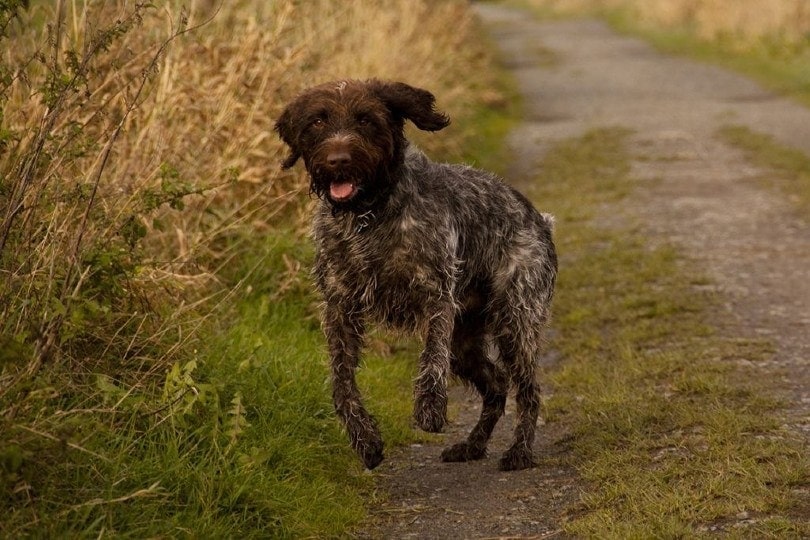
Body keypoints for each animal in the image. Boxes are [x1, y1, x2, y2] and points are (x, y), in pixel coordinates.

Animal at [274, 78, 556, 470]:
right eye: (317, 121)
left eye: (366, 119)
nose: (338, 161)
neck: (368, 216)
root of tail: (539, 219)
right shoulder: (339, 308)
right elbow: (341, 383)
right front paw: (365, 439)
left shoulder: (435, 295)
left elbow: (431, 356)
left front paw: (429, 408)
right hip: (464, 341)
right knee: (497, 384)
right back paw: (472, 445)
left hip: (515, 321)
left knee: (528, 391)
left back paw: (520, 451)